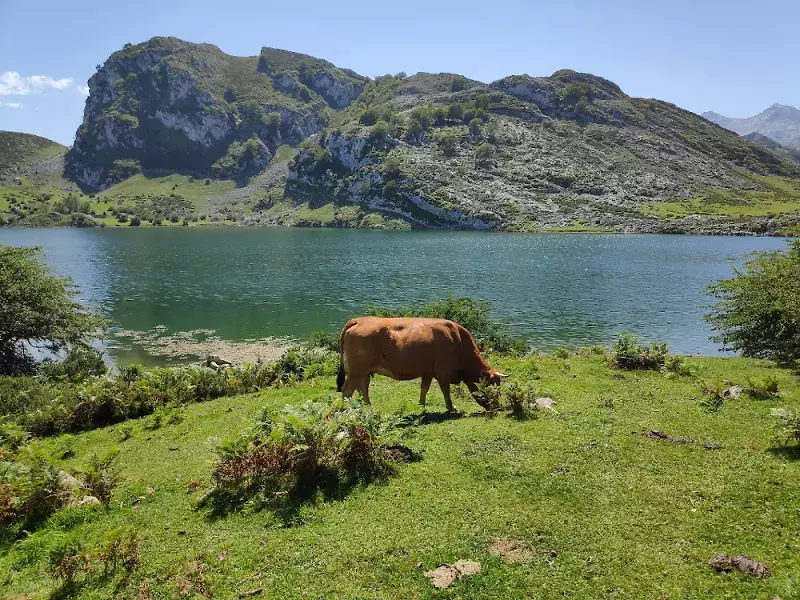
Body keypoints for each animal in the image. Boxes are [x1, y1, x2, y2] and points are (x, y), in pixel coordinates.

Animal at [336, 316, 506, 410]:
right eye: (493, 389)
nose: (497, 406)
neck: (458, 340)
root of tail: (358, 320)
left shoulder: (428, 371)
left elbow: (424, 388)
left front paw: (421, 404)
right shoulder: (443, 372)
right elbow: (445, 391)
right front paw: (451, 407)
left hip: (364, 371)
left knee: (362, 388)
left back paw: (366, 406)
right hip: (357, 370)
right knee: (347, 390)